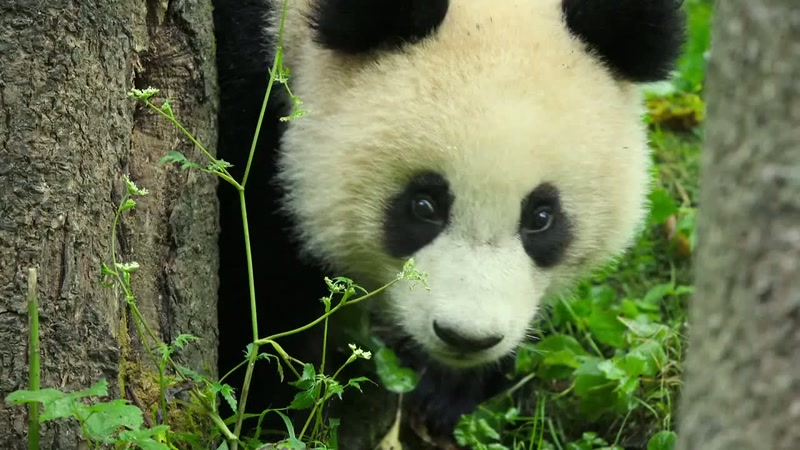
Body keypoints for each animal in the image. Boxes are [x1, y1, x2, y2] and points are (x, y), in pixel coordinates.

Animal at [214, 0, 686, 447]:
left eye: (541, 217)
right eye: (424, 206)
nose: (466, 338)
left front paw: (449, 391)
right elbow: (259, 285)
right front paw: (268, 412)